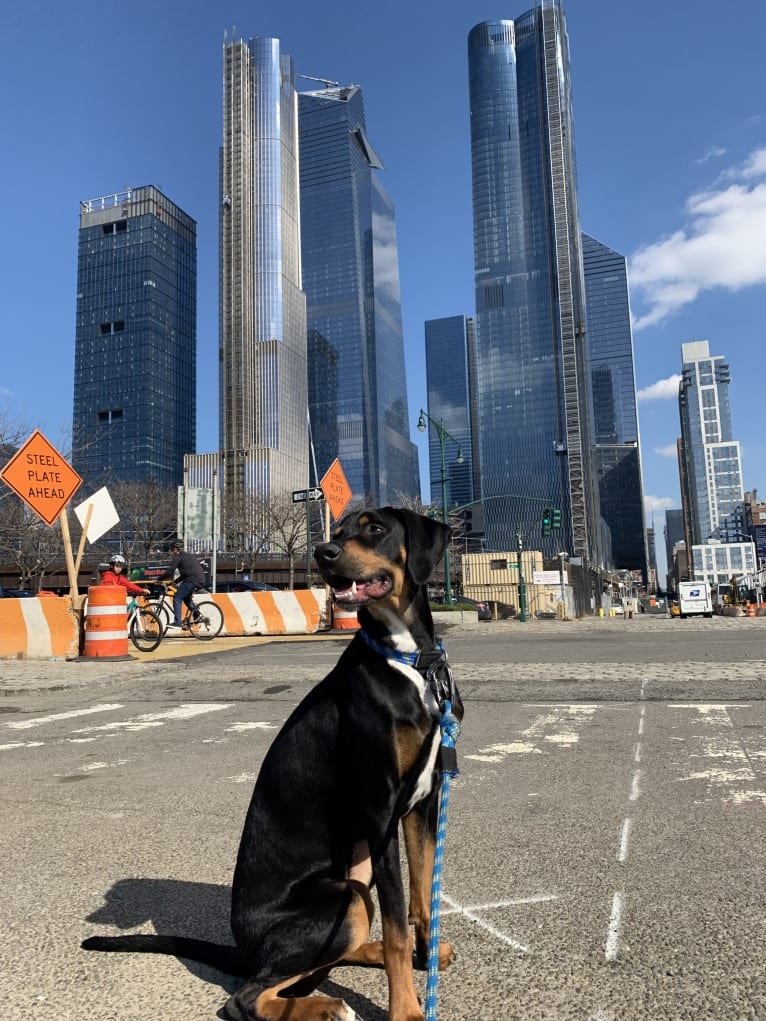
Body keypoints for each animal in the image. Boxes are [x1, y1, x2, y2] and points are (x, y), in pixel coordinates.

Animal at [79, 506, 461, 1016]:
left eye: (375, 528)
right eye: (337, 531)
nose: (323, 553)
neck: (409, 659)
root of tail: (245, 948)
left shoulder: (422, 801)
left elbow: (421, 900)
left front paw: (427, 957)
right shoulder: (380, 812)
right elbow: (399, 921)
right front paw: (407, 1009)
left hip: (355, 874)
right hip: (347, 893)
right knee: (247, 998)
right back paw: (325, 1006)